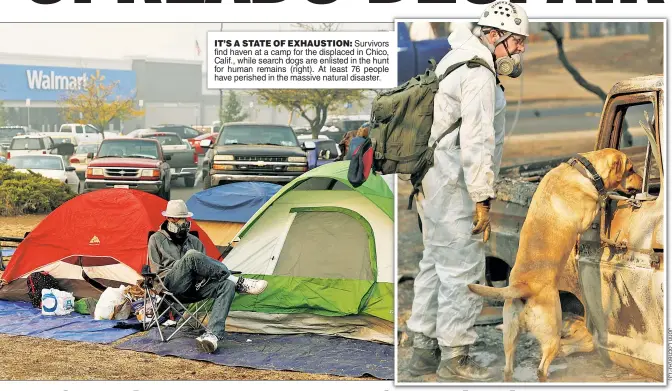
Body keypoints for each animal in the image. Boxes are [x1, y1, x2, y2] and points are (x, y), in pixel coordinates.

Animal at [470, 149, 644, 382]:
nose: (642, 183)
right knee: (542, 367)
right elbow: (600, 201)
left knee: (507, 368)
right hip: (552, 332)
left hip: (510, 335)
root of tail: (522, 288)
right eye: (631, 169)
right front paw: (605, 198)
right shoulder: (586, 218)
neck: (583, 171)